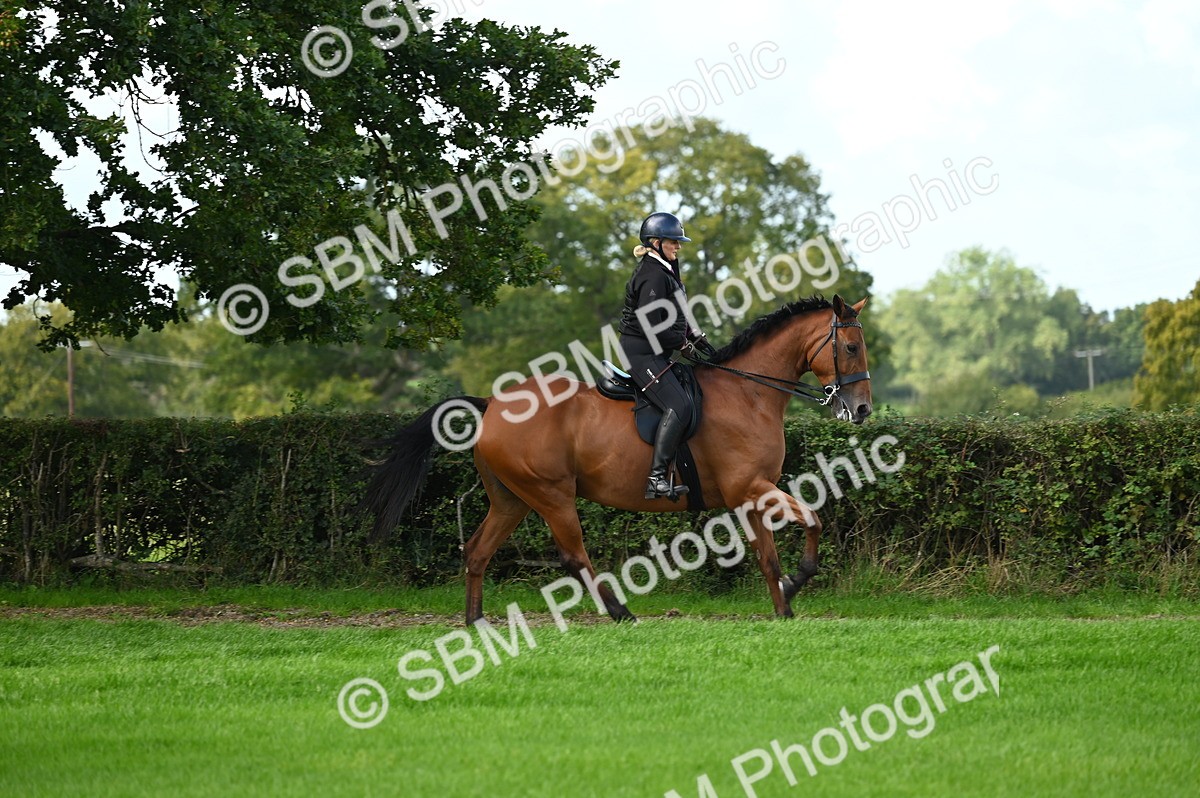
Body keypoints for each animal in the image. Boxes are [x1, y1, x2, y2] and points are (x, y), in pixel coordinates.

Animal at [365, 294, 872, 623]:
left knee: (477, 551)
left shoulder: (754, 494)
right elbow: (798, 530)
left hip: (511, 500)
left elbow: (782, 544)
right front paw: (794, 587)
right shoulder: (749, 488)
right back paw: (620, 611)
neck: (750, 393)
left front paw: (787, 599)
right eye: (850, 347)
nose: (863, 410)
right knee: (574, 556)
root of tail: (491, 405)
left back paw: (477, 621)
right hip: (551, 496)